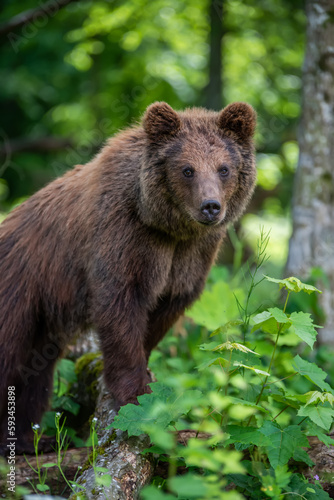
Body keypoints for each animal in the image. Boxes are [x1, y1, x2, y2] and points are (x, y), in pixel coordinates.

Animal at [0, 101, 256, 454]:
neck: (166, 225)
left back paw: (32, 440)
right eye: (187, 169)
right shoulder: (124, 233)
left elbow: (164, 310)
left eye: (224, 168)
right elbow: (119, 304)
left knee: (35, 370)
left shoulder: (190, 255)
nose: (210, 206)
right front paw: (135, 394)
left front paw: (146, 370)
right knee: (9, 353)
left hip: (43, 309)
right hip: (22, 282)